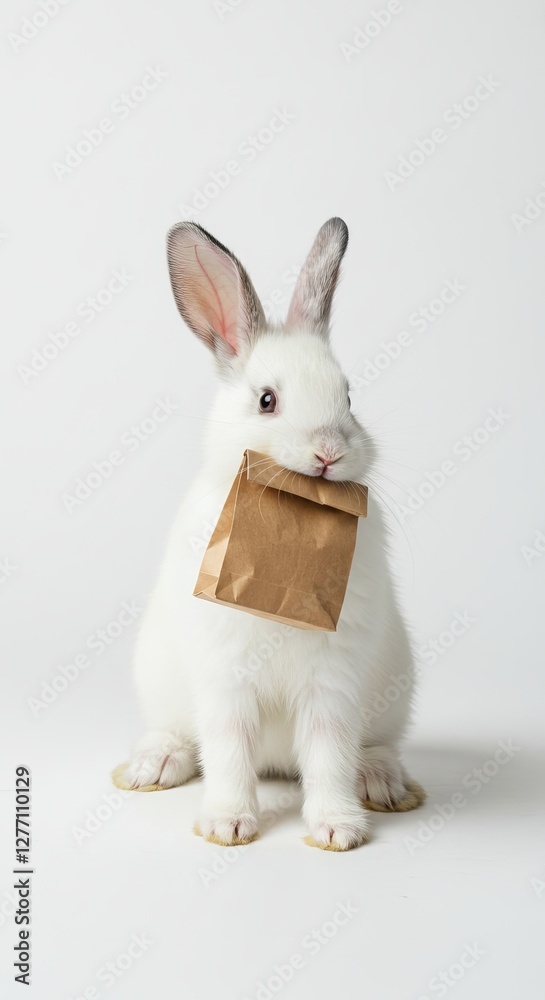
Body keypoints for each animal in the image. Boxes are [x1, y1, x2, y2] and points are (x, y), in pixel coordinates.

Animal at [112, 217, 425, 851]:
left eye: (349, 396)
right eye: (266, 401)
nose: (329, 452)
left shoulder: (333, 681)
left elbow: (329, 755)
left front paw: (337, 831)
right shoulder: (226, 677)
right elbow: (229, 751)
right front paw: (228, 825)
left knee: (370, 747)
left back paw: (381, 782)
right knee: (181, 737)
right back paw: (154, 765)